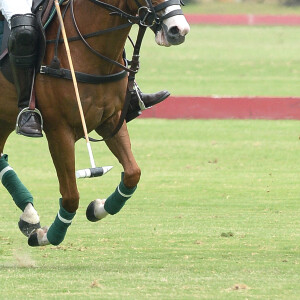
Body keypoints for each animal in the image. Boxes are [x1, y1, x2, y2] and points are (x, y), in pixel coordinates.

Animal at [0, 0, 189, 246]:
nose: (179, 30)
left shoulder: (112, 119)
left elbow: (132, 173)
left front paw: (97, 208)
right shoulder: (59, 130)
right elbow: (71, 196)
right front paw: (46, 236)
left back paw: (29, 215)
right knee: (23, 34)